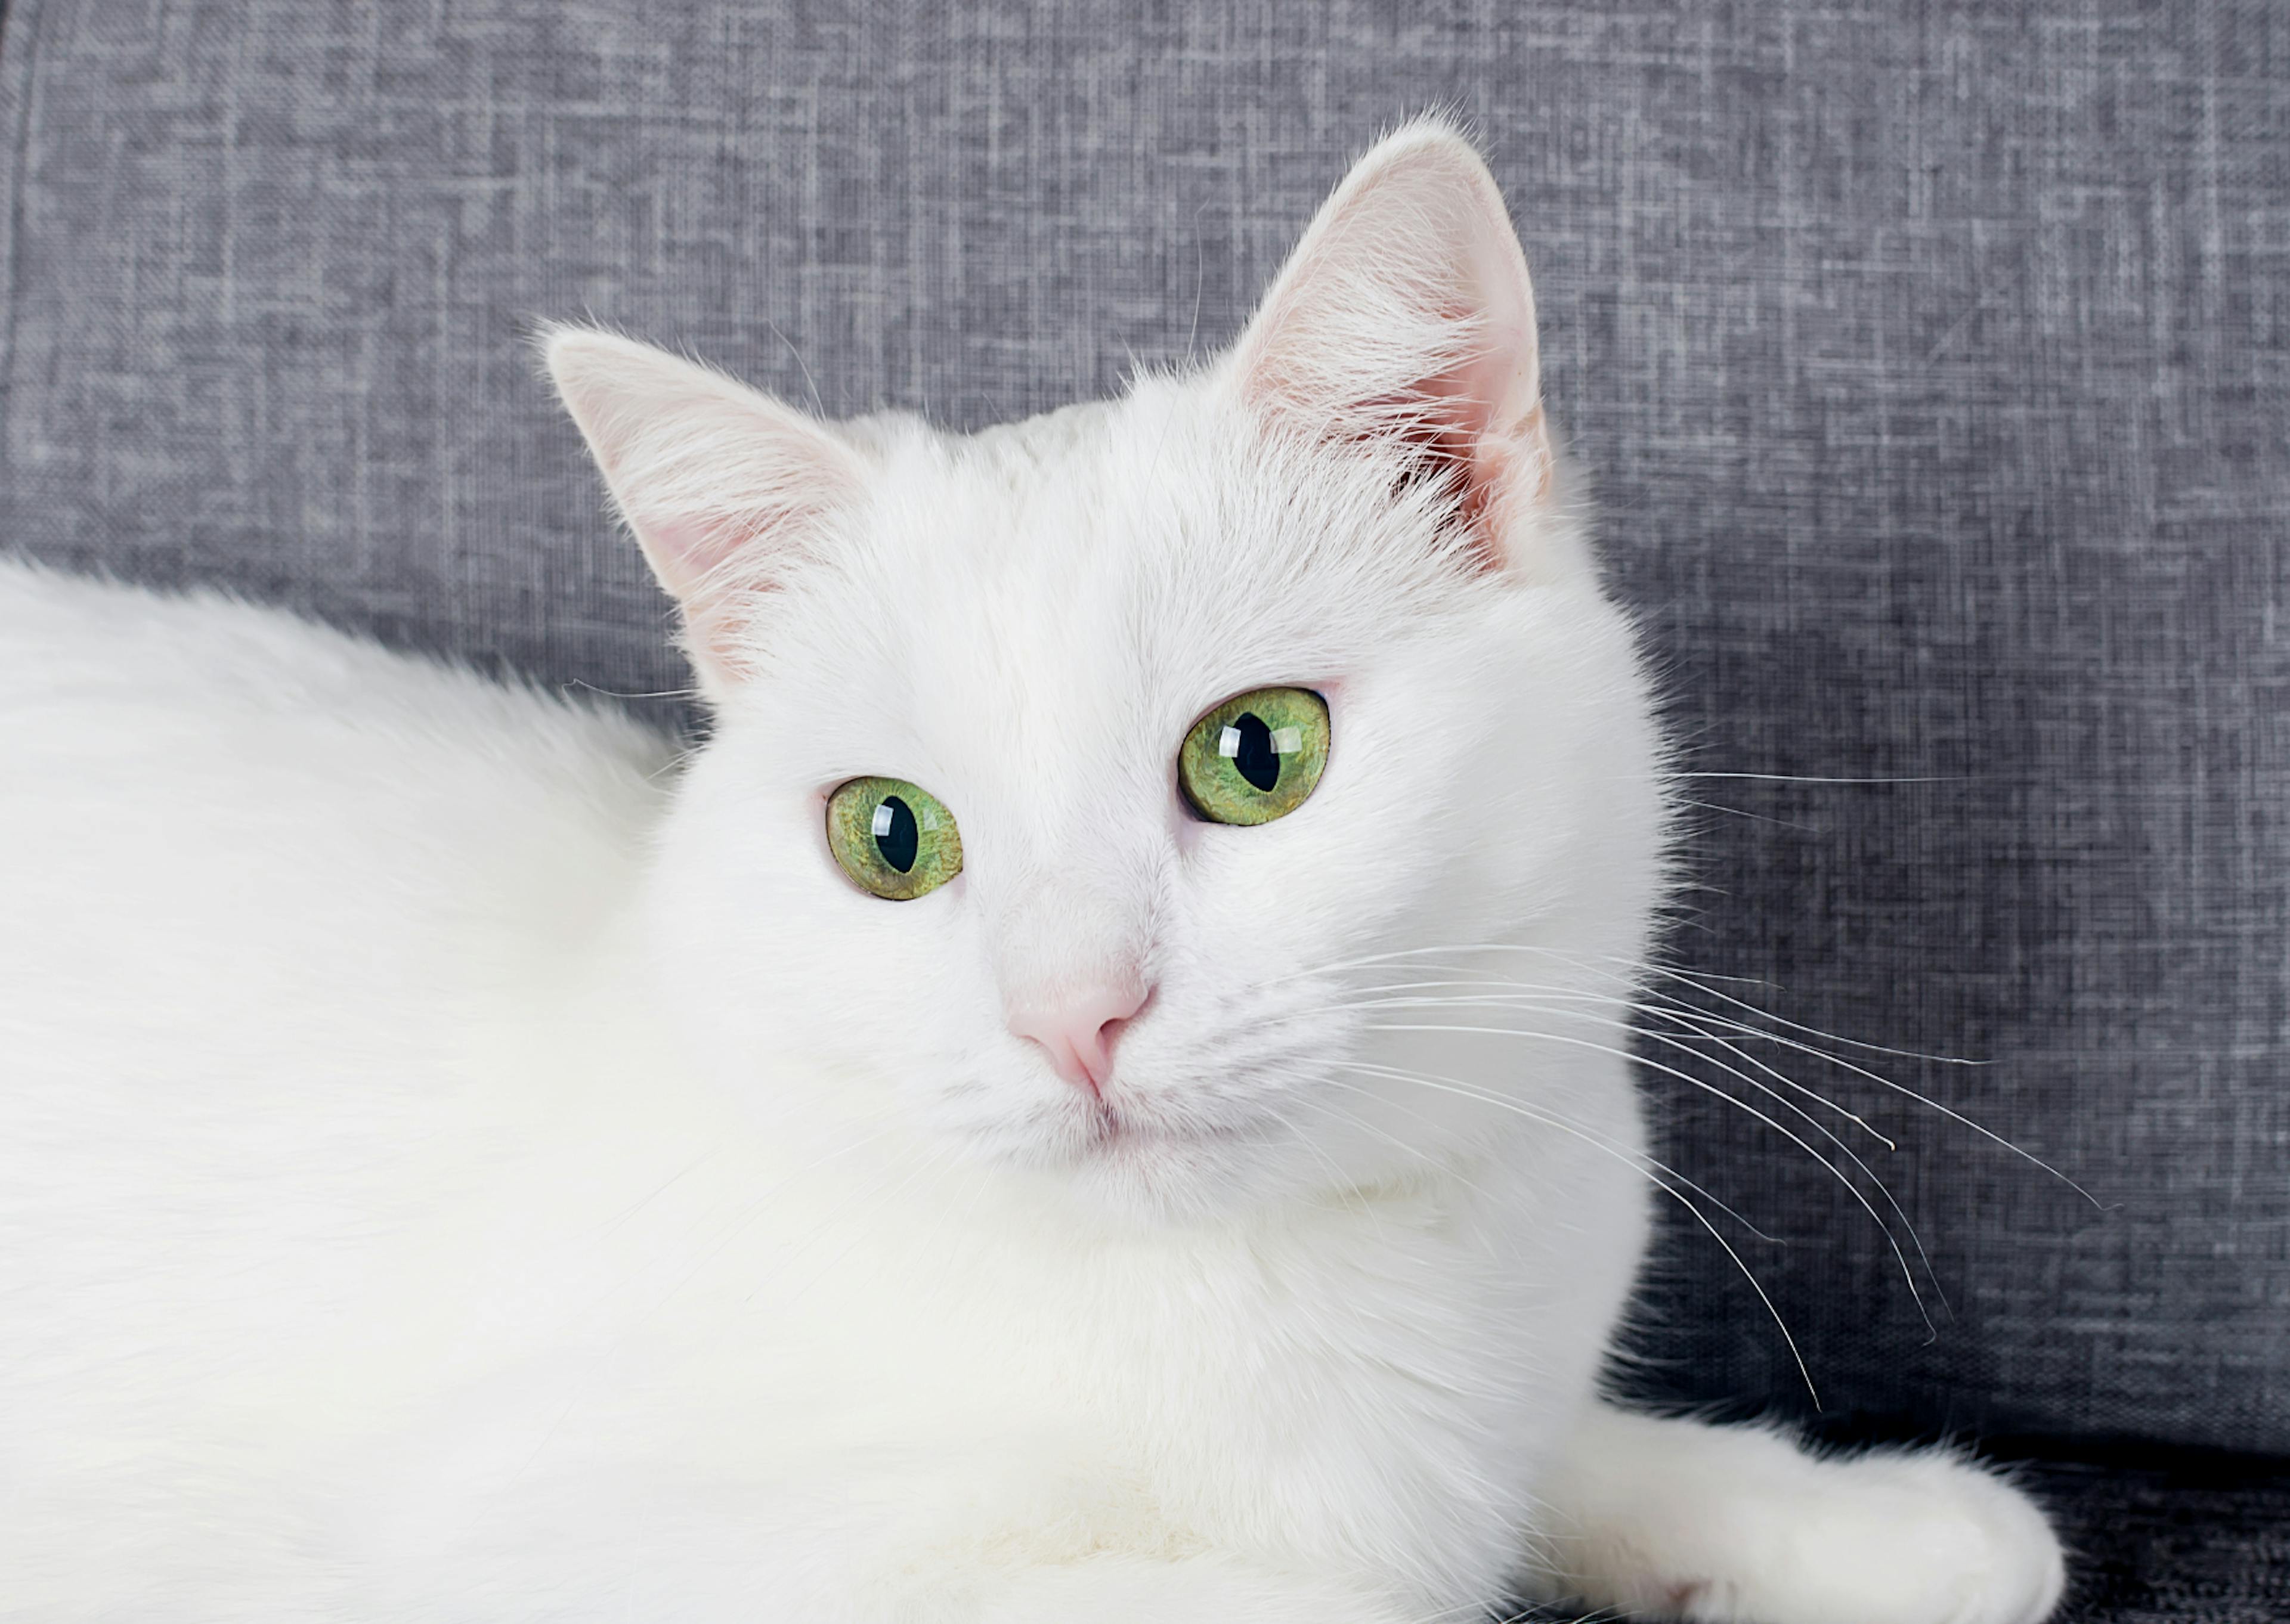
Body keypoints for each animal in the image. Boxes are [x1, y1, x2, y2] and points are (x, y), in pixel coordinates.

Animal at [0, 120, 2061, 1612]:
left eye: (1257, 755)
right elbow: (1319, 1599)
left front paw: (1866, 1522)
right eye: (888, 837)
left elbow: (1547, 1460)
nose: (1078, 1011)